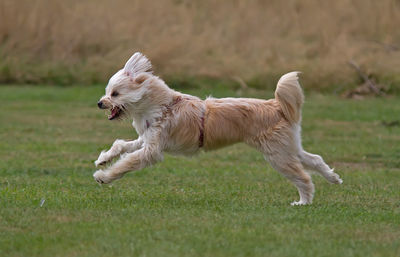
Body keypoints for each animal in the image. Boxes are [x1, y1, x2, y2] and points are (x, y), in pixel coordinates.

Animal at [93, 51, 340, 204]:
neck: (161, 105)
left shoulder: (152, 150)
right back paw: (333, 179)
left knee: (303, 177)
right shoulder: (146, 138)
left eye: (115, 93)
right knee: (314, 159)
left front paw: (103, 176)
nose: (100, 103)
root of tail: (277, 105)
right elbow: (122, 146)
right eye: (107, 92)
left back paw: (303, 202)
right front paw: (103, 159)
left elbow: (127, 162)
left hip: (277, 155)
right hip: (288, 146)